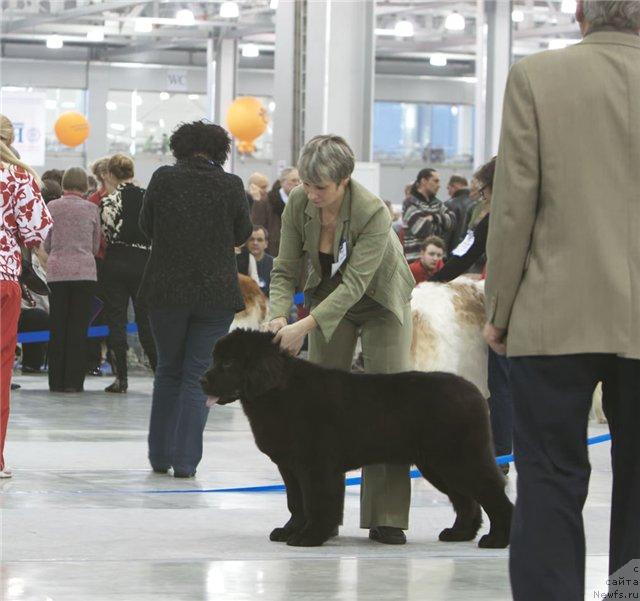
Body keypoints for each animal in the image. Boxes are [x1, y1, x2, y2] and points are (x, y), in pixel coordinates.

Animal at [202, 328, 512, 548]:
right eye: (215, 359)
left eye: (227, 363)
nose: (202, 380)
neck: (276, 391)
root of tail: (475, 392)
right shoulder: (290, 467)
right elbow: (296, 502)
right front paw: (289, 530)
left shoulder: (316, 466)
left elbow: (316, 502)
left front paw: (309, 537)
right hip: (439, 466)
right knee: (467, 500)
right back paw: (459, 533)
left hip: (461, 459)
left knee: (493, 493)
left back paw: (497, 539)